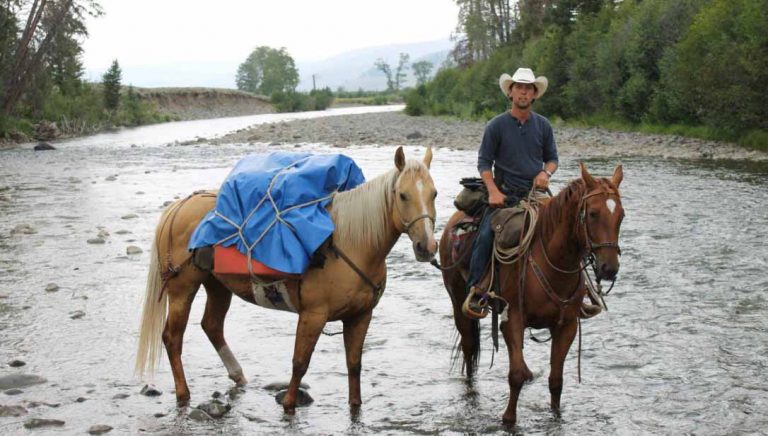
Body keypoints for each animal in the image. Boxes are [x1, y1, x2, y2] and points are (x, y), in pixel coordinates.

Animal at [136, 146, 438, 412]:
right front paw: (289, 405)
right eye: (402, 195)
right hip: (182, 289)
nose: (427, 246)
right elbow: (300, 363)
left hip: (218, 285)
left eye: (434, 193)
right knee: (172, 338)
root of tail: (177, 207)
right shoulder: (313, 315)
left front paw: (355, 406)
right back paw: (183, 393)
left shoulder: (361, 316)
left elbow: (354, 364)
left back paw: (238, 376)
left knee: (211, 326)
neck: (353, 244)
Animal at [438, 162, 624, 424]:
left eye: (621, 215)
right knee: (469, 347)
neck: (552, 261)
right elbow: (515, 375)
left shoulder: (567, 325)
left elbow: (556, 380)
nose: (609, 268)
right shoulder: (512, 320)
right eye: (593, 213)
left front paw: (556, 415)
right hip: (457, 301)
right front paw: (508, 418)